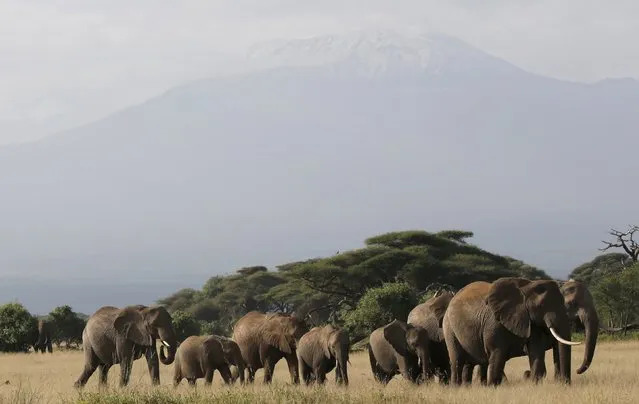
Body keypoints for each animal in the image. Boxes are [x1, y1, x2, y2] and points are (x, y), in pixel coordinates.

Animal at [442, 278, 584, 386]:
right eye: (541, 306)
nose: (565, 384)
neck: (526, 286)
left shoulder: (531, 321)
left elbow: (536, 351)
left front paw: (535, 385)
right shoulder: (494, 322)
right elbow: (498, 353)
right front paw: (492, 388)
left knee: (469, 363)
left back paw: (466, 387)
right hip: (449, 327)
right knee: (457, 360)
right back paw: (456, 387)